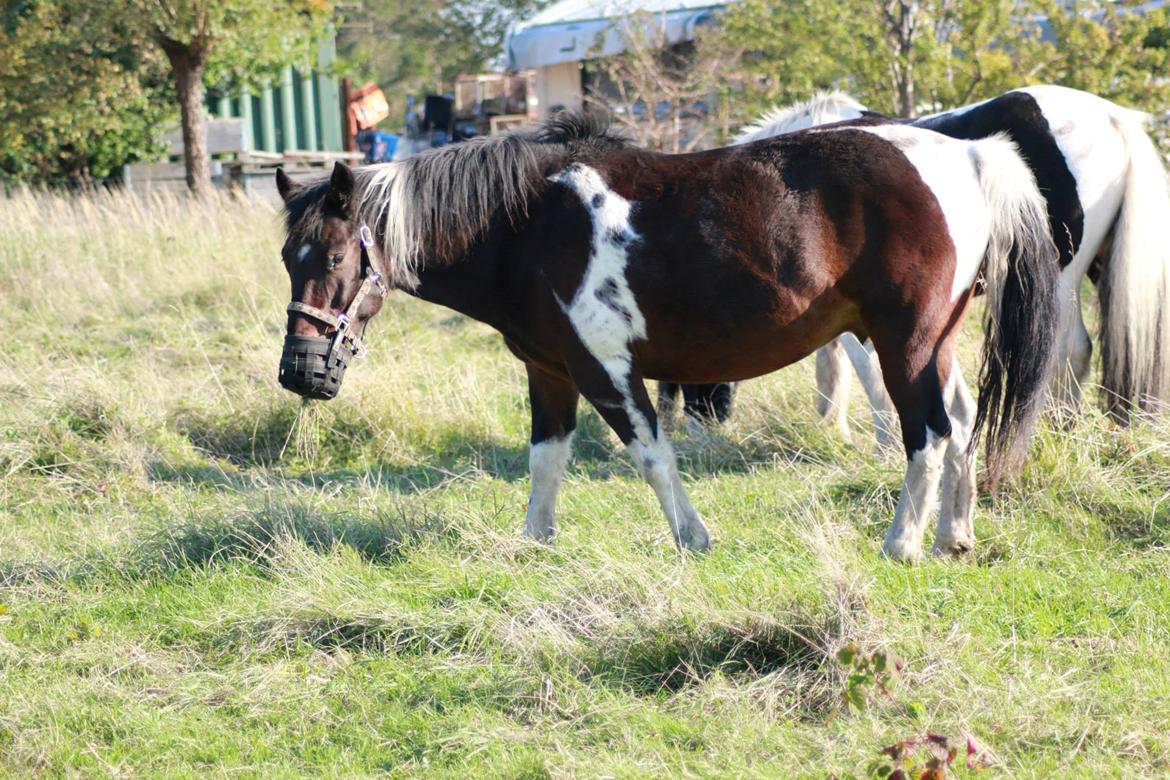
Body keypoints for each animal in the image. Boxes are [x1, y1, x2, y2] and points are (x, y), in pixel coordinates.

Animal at [272, 111, 1058, 562]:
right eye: (287, 258)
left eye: (335, 259)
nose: (300, 372)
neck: (527, 224)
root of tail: (968, 155)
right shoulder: (549, 372)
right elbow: (546, 459)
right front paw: (533, 543)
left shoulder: (606, 370)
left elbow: (652, 454)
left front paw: (693, 538)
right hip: (936, 342)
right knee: (963, 423)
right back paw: (956, 533)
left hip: (901, 342)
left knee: (929, 432)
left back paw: (902, 543)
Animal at [670, 86, 1170, 442]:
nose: (700, 426)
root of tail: (1112, 118)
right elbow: (831, 367)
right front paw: (833, 429)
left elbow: (866, 373)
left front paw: (884, 443)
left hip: (1061, 278)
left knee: (1069, 351)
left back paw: (1055, 431)